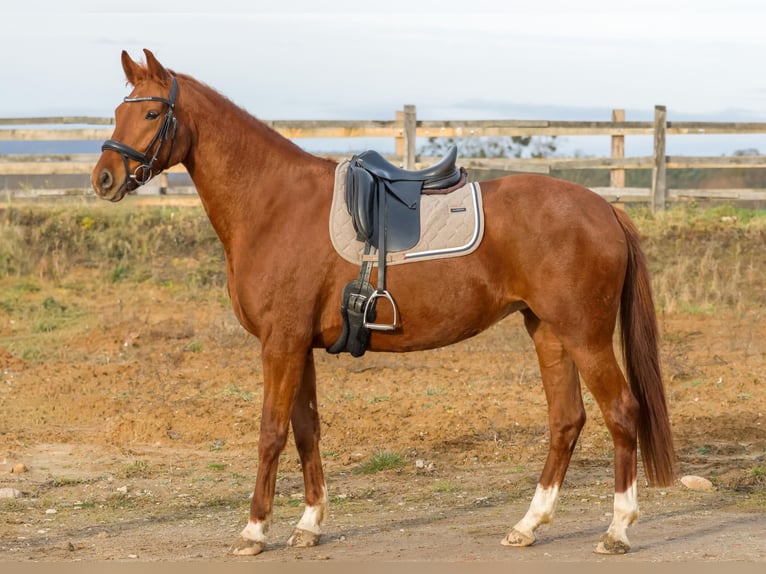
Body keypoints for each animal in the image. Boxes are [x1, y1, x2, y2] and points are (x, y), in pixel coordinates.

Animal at [91, 49, 675, 556]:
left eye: (151, 112)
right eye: (118, 111)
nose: (104, 178)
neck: (274, 204)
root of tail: (604, 208)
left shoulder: (281, 344)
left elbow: (271, 433)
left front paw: (254, 530)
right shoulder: (298, 346)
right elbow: (306, 430)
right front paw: (309, 524)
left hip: (585, 335)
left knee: (622, 413)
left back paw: (617, 530)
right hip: (549, 332)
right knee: (566, 421)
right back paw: (529, 525)